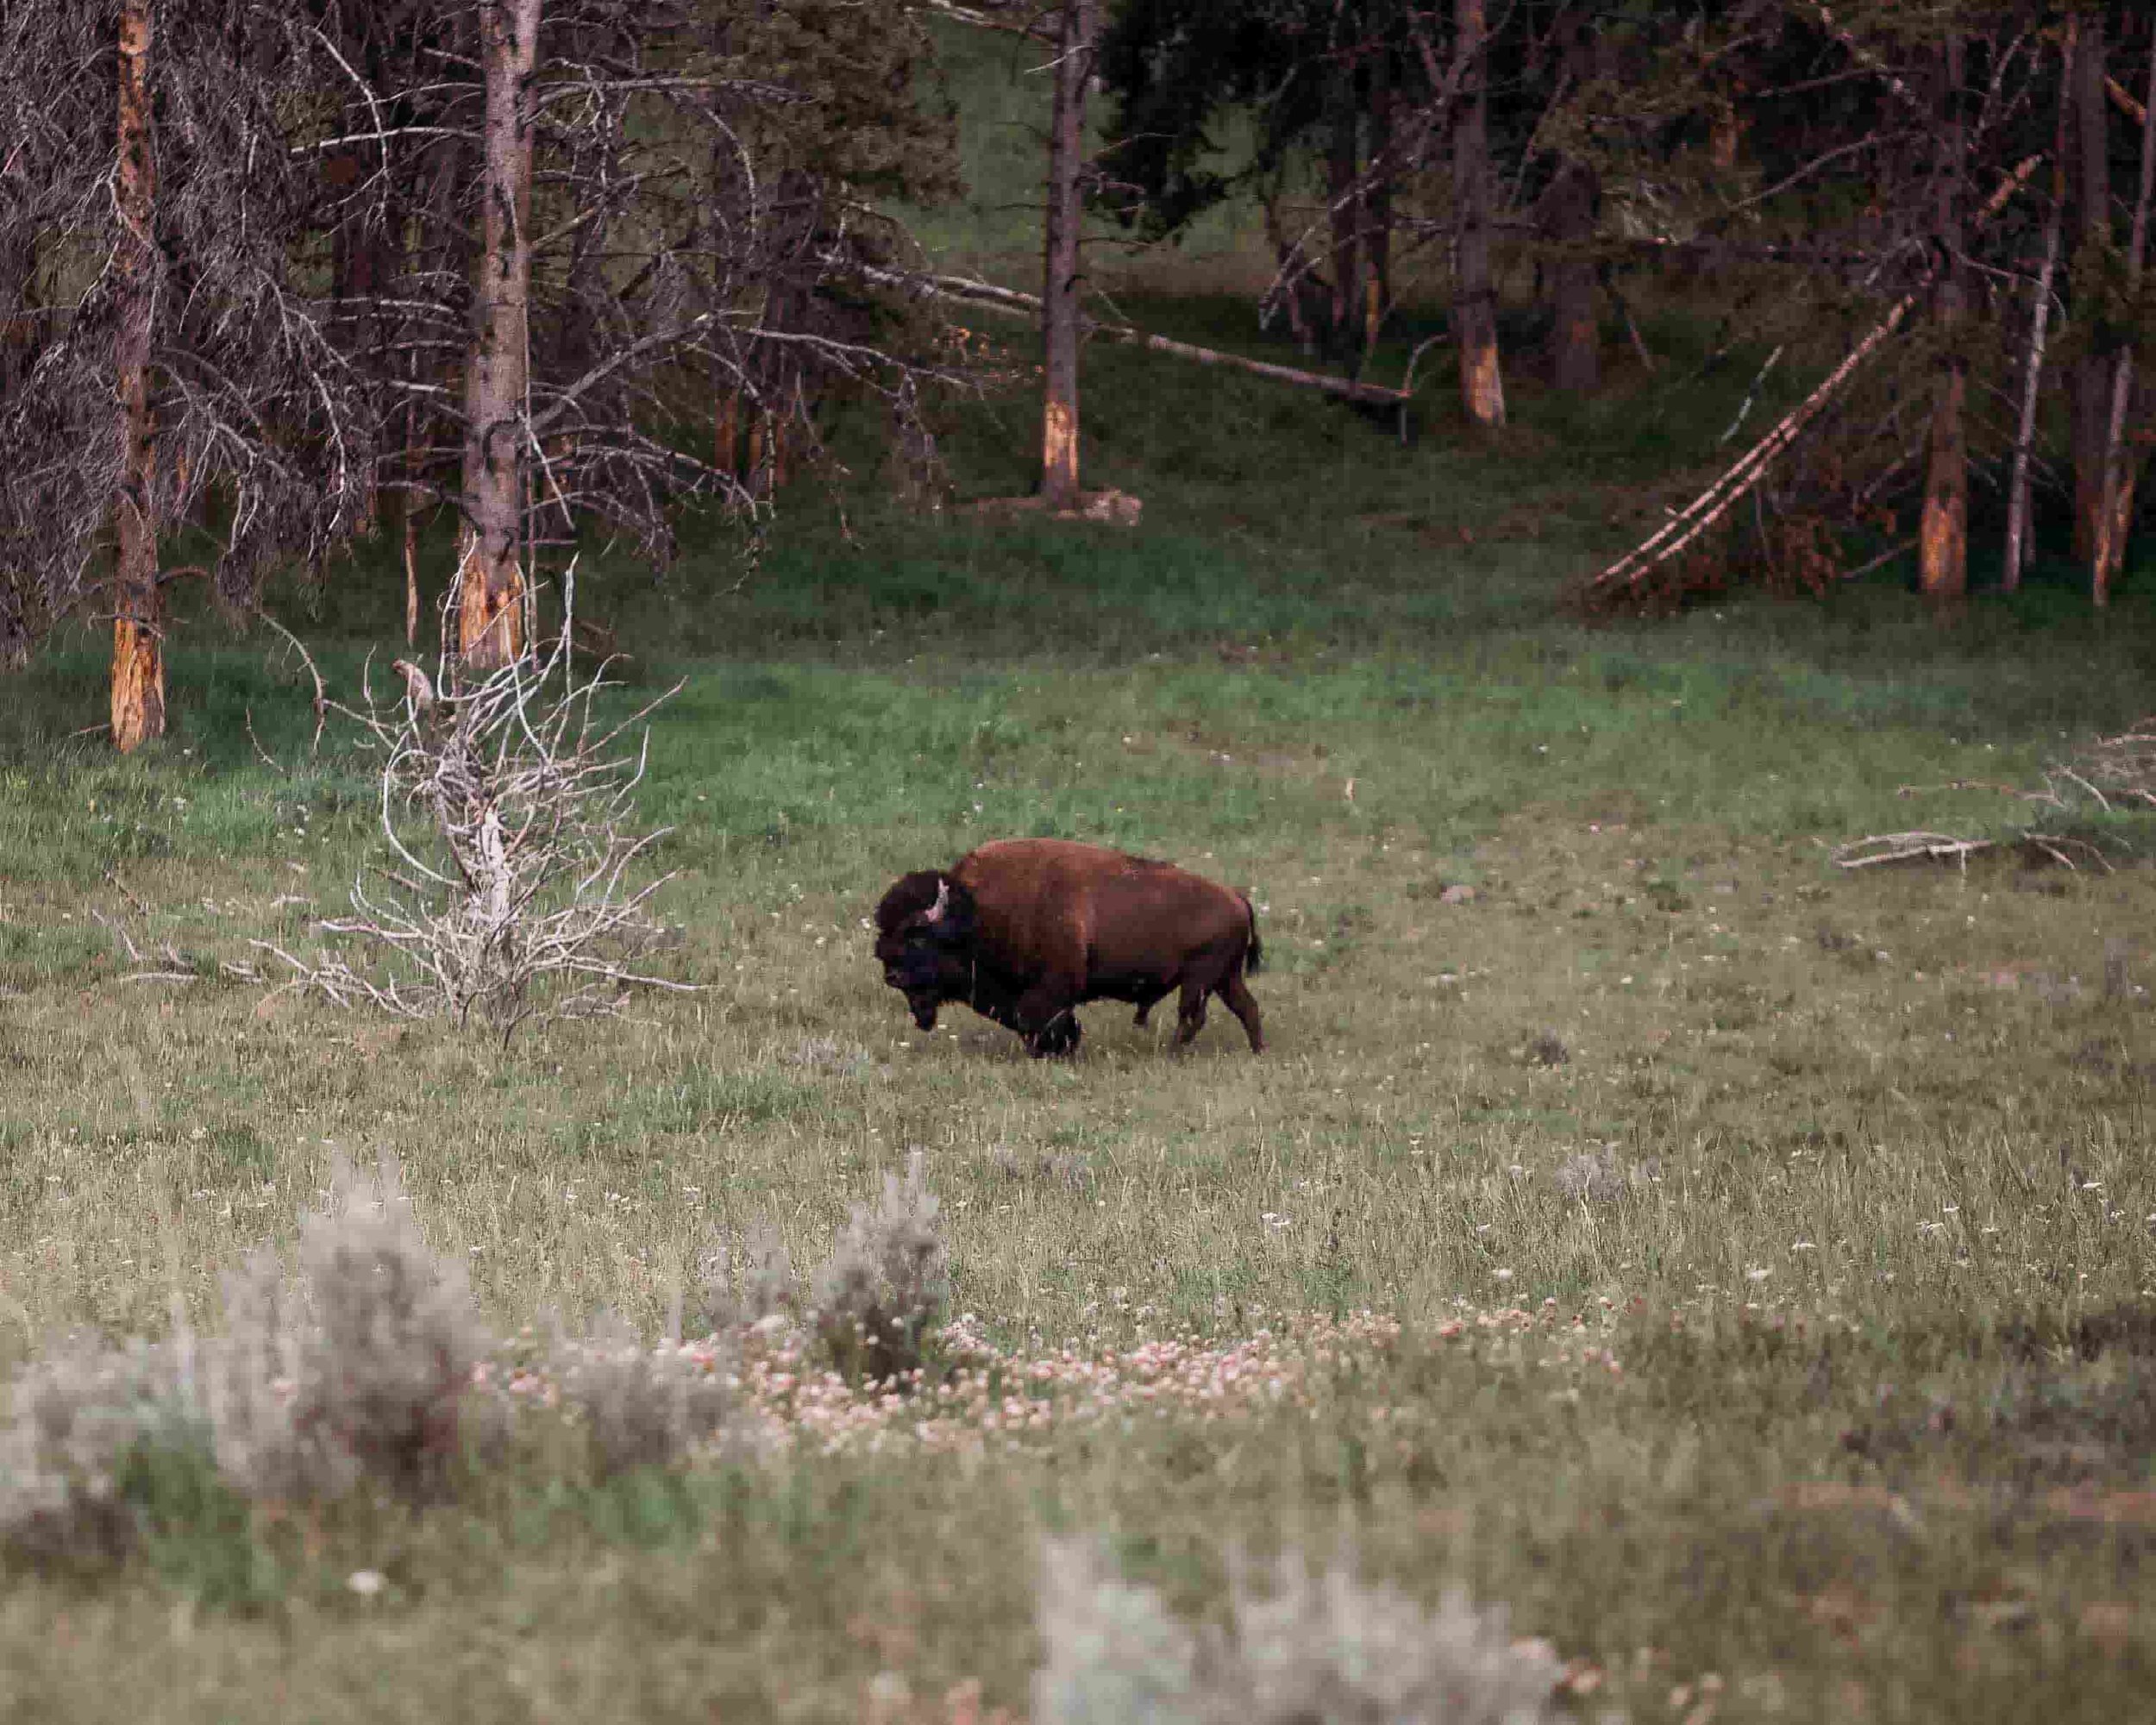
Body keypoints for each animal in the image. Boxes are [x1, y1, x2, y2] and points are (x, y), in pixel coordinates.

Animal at [871, 841, 1259, 1057]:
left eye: (917, 937)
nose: (892, 975)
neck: (978, 914)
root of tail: (1237, 898)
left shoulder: (1051, 988)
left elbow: (1038, 1018)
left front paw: (1054, 1050)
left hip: (1200, 979)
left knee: (1193, 1016)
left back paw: (1171, 1053)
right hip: (1223, 978)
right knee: (1247, 1008)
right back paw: (1256, 1051)